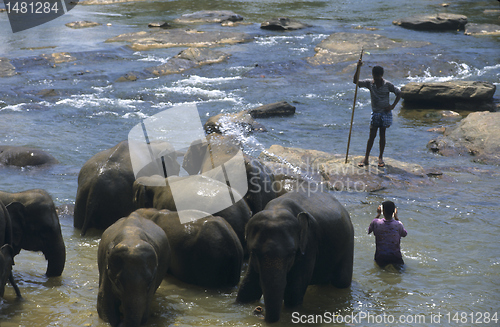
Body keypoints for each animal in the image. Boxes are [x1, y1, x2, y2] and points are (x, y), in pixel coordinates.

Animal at [236, 191, 354, 324]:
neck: (277, 208)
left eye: (292, 253)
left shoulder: (309, 244)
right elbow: (248, 286)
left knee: (342, 282)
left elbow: (293, 292)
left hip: (348, 244)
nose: (258, 310)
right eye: (254, 252)